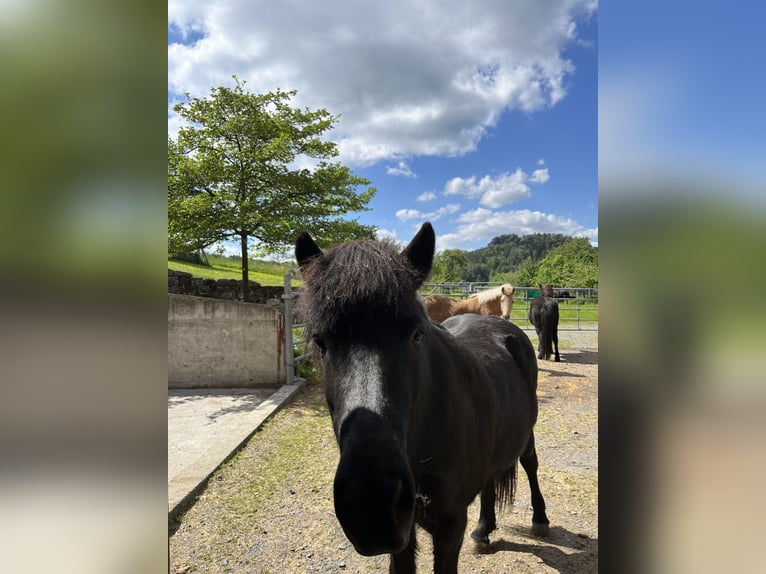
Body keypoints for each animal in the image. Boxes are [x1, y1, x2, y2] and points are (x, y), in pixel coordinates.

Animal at [296, 223, 552, 572]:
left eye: (417, 334)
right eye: (320, 341)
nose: (372, 502)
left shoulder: (450, 524)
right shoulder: (404, 535)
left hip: (527, 433)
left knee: (530, 462)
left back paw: (540, 519)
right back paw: (483, 531)